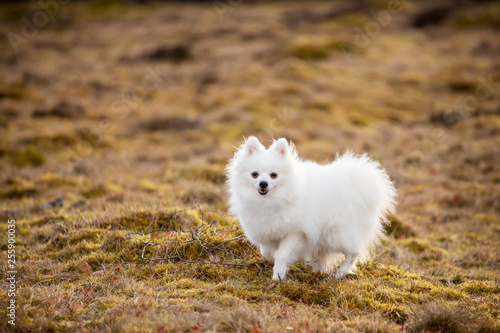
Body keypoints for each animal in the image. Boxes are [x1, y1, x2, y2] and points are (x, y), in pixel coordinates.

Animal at [228, 136, 398, 278]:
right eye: (254, 174)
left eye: (273, 175)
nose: (263, 184)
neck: (273, 201)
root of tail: (356, 184)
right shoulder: (266, 230)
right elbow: (267, 252)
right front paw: (272, 263)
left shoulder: (295, 233)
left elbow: (283, 255)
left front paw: (278, 276)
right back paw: (319, 272)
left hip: (336, 234)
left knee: (354, 252)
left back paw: (341, 273)